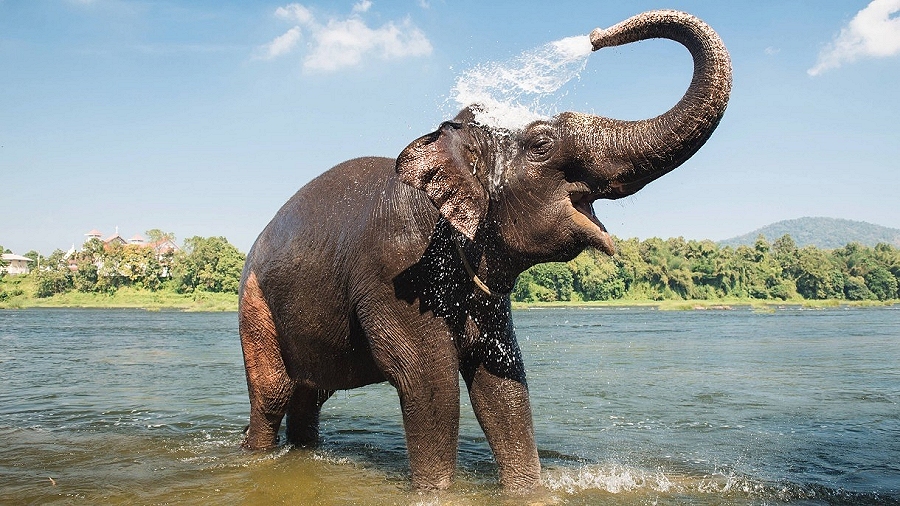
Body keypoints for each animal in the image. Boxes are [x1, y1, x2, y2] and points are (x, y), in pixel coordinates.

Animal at [237, 7, 732, 490]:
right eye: (542, 144)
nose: (595, 35)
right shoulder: (395, 273)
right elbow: (429, 382)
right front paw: (435, 491)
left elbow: (501, 384)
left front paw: (528, 490)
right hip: (254, 304)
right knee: (273, 395)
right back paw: (256, 454)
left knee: (310, 395)